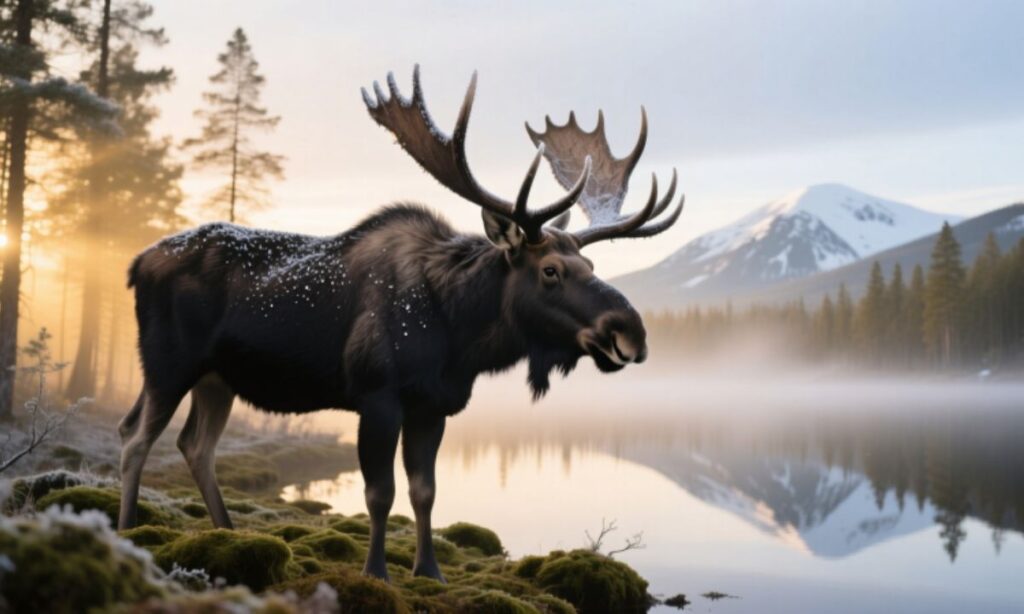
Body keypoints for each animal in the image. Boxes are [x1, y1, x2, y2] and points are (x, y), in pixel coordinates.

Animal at [117, 65, 684, 582]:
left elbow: (424, 491)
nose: (630, 332)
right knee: (134, 438)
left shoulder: (433, 406)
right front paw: (376, 572)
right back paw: (126, 534)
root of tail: (136, 263)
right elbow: (379, 492)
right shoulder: (377, 395)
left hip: (219, 378)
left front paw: (428, 570)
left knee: (196, 447)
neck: (458, 339)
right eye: (550, 270)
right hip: (168, 364)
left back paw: (228, 535)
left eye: (591, 265)